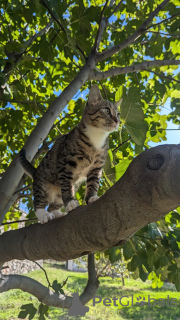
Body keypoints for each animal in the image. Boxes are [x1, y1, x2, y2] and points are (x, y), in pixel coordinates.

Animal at [19, 85, 121, 225]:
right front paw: (70, 202)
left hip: (67, 190)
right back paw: (44, 215)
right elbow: (66, 185)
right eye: (106, 110)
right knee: (39, 201)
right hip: (43, 185)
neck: (97, 137)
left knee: (53, 206)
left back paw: (58, 213)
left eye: (118, 114)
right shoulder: (65, 162)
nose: (117, 121)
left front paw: (91, 198)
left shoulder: (97, 166)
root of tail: (36, 172)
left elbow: (93, 183)